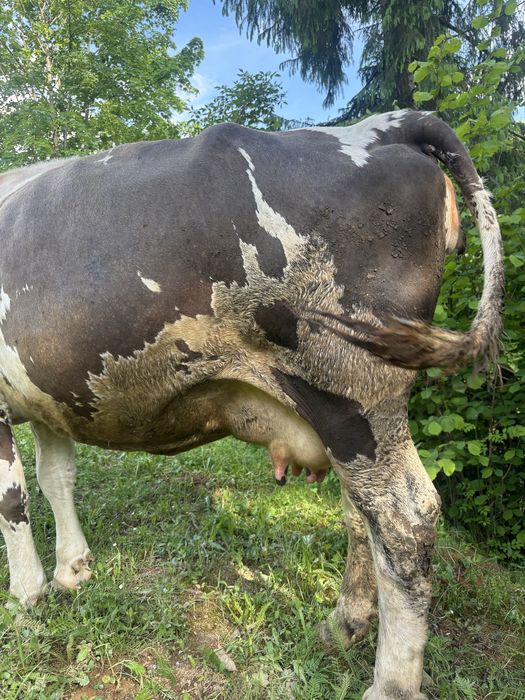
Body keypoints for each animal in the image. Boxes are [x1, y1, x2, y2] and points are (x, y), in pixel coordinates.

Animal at [0, 110, 503, 699]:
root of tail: (388, 123)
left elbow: (12, 499)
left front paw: (27, 596)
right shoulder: (49, 398)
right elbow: (56, 478)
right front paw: (73, 569)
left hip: (351, 392)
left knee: (405, 519)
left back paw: (389, 685)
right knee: (362, 515)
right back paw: (342, 624)